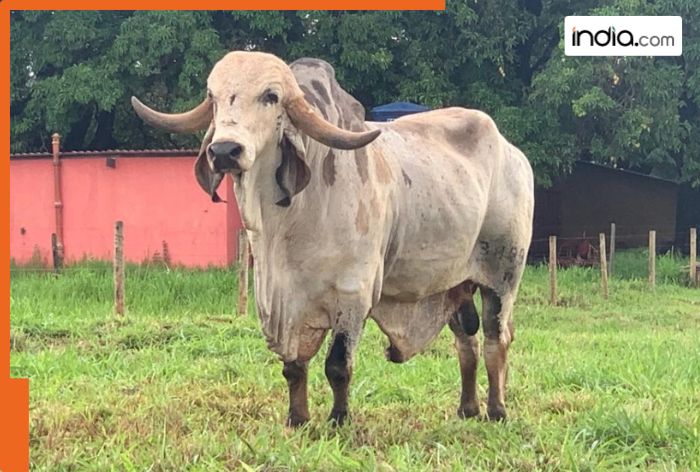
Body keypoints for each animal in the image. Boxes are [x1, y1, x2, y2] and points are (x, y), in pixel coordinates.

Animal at [133, 51, 536, 424]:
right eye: (213, 97)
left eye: (271, 96)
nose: (224, 151)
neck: (290, 223)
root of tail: (514, 155)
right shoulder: (285, 303)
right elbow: (294, 367)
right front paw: (297, 419)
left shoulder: (353, 296)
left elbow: (338, 366)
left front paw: (339, 419)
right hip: (455, 284)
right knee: (466, 340)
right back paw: (467, 409)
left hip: (503, 276)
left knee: (495, 340)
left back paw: (497, 410)